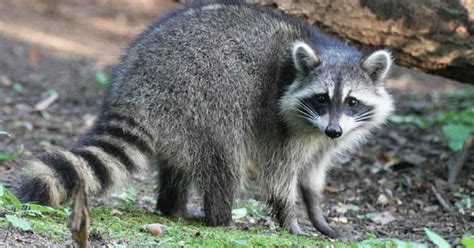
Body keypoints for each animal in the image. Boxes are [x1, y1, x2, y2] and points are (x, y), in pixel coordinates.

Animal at [14, 0, 394, 238]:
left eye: (352, 101)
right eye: (321, 98)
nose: (334, 130)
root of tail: (133, 88)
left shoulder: (324, 136)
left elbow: (313, 174)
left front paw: (317, 214)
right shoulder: (280, 122)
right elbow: (279, 175)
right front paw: (290, 219)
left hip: (178, 119)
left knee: (179, 166)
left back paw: (172, 208)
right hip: (201, 97)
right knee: (224, 161)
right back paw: (220, 218)